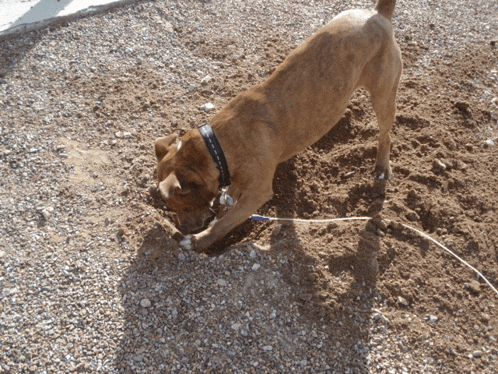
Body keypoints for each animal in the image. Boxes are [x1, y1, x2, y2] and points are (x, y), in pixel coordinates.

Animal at [155, 0, 400, 251]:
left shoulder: (257, 193)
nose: (184, 228)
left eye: (182, 206)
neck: (217, 146)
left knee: (386, 133)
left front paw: (199, 240)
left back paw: (382, 166)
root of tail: (377, 14)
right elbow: (228, 202)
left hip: (383, 94)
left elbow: (226, 222)